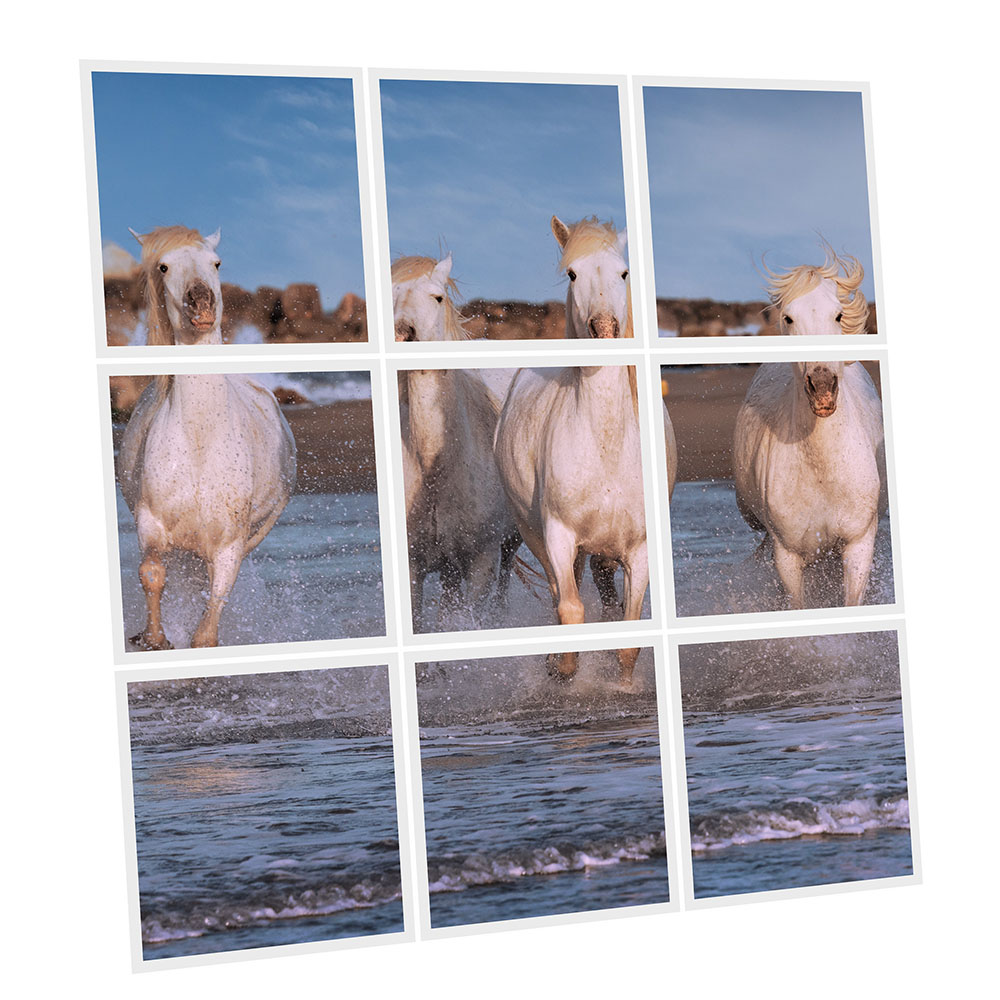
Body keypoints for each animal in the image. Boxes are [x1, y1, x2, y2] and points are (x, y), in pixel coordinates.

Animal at [117, 226, 297, 648]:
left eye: (216, 263)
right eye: (164, 266)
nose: (201, 307)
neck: (201, 439)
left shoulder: (229, 546)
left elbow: (209, 620)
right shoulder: (151, 524)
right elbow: (152, 574)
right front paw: (154, 638)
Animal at [493, 218, 666, 683]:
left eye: (624, 272)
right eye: (572, 274)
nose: (604, 330)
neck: (605, 444)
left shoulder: (639, 547)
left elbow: (628, 632)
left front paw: (621, 687)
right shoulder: (558, 534)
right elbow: (569, 608)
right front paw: (563, 673)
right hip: (536, 535)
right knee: (560, 592)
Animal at [733, 247, 886, 608]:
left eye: (838, 316)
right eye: (789, 318)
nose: (823, 389)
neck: (823, 471)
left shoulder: (858, 545)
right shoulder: (787, 557)